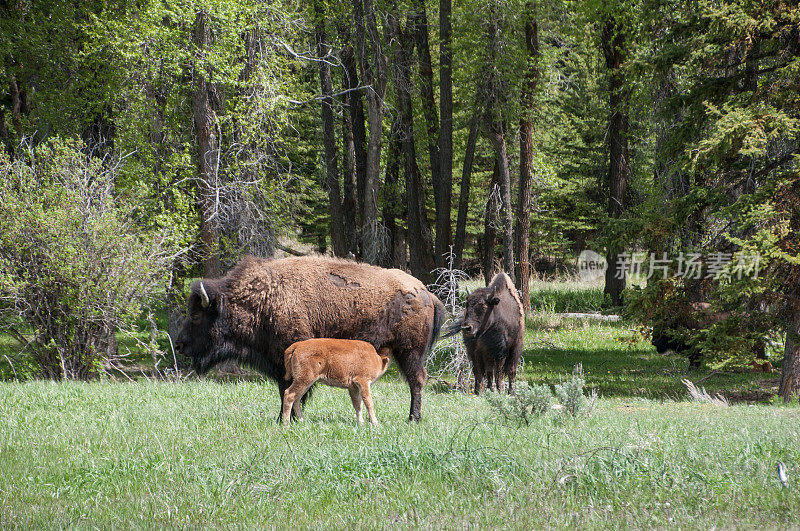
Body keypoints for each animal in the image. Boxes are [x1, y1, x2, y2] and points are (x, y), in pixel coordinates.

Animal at [174, 256, 444, 422]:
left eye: (196, 315)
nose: (179, 344)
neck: (263, 298)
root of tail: (426, 292)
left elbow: (293, 390)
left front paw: (288, 419)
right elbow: (288, 390)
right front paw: (287, 418)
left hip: (409, 351)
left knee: (417, 380)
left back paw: (413, 418)